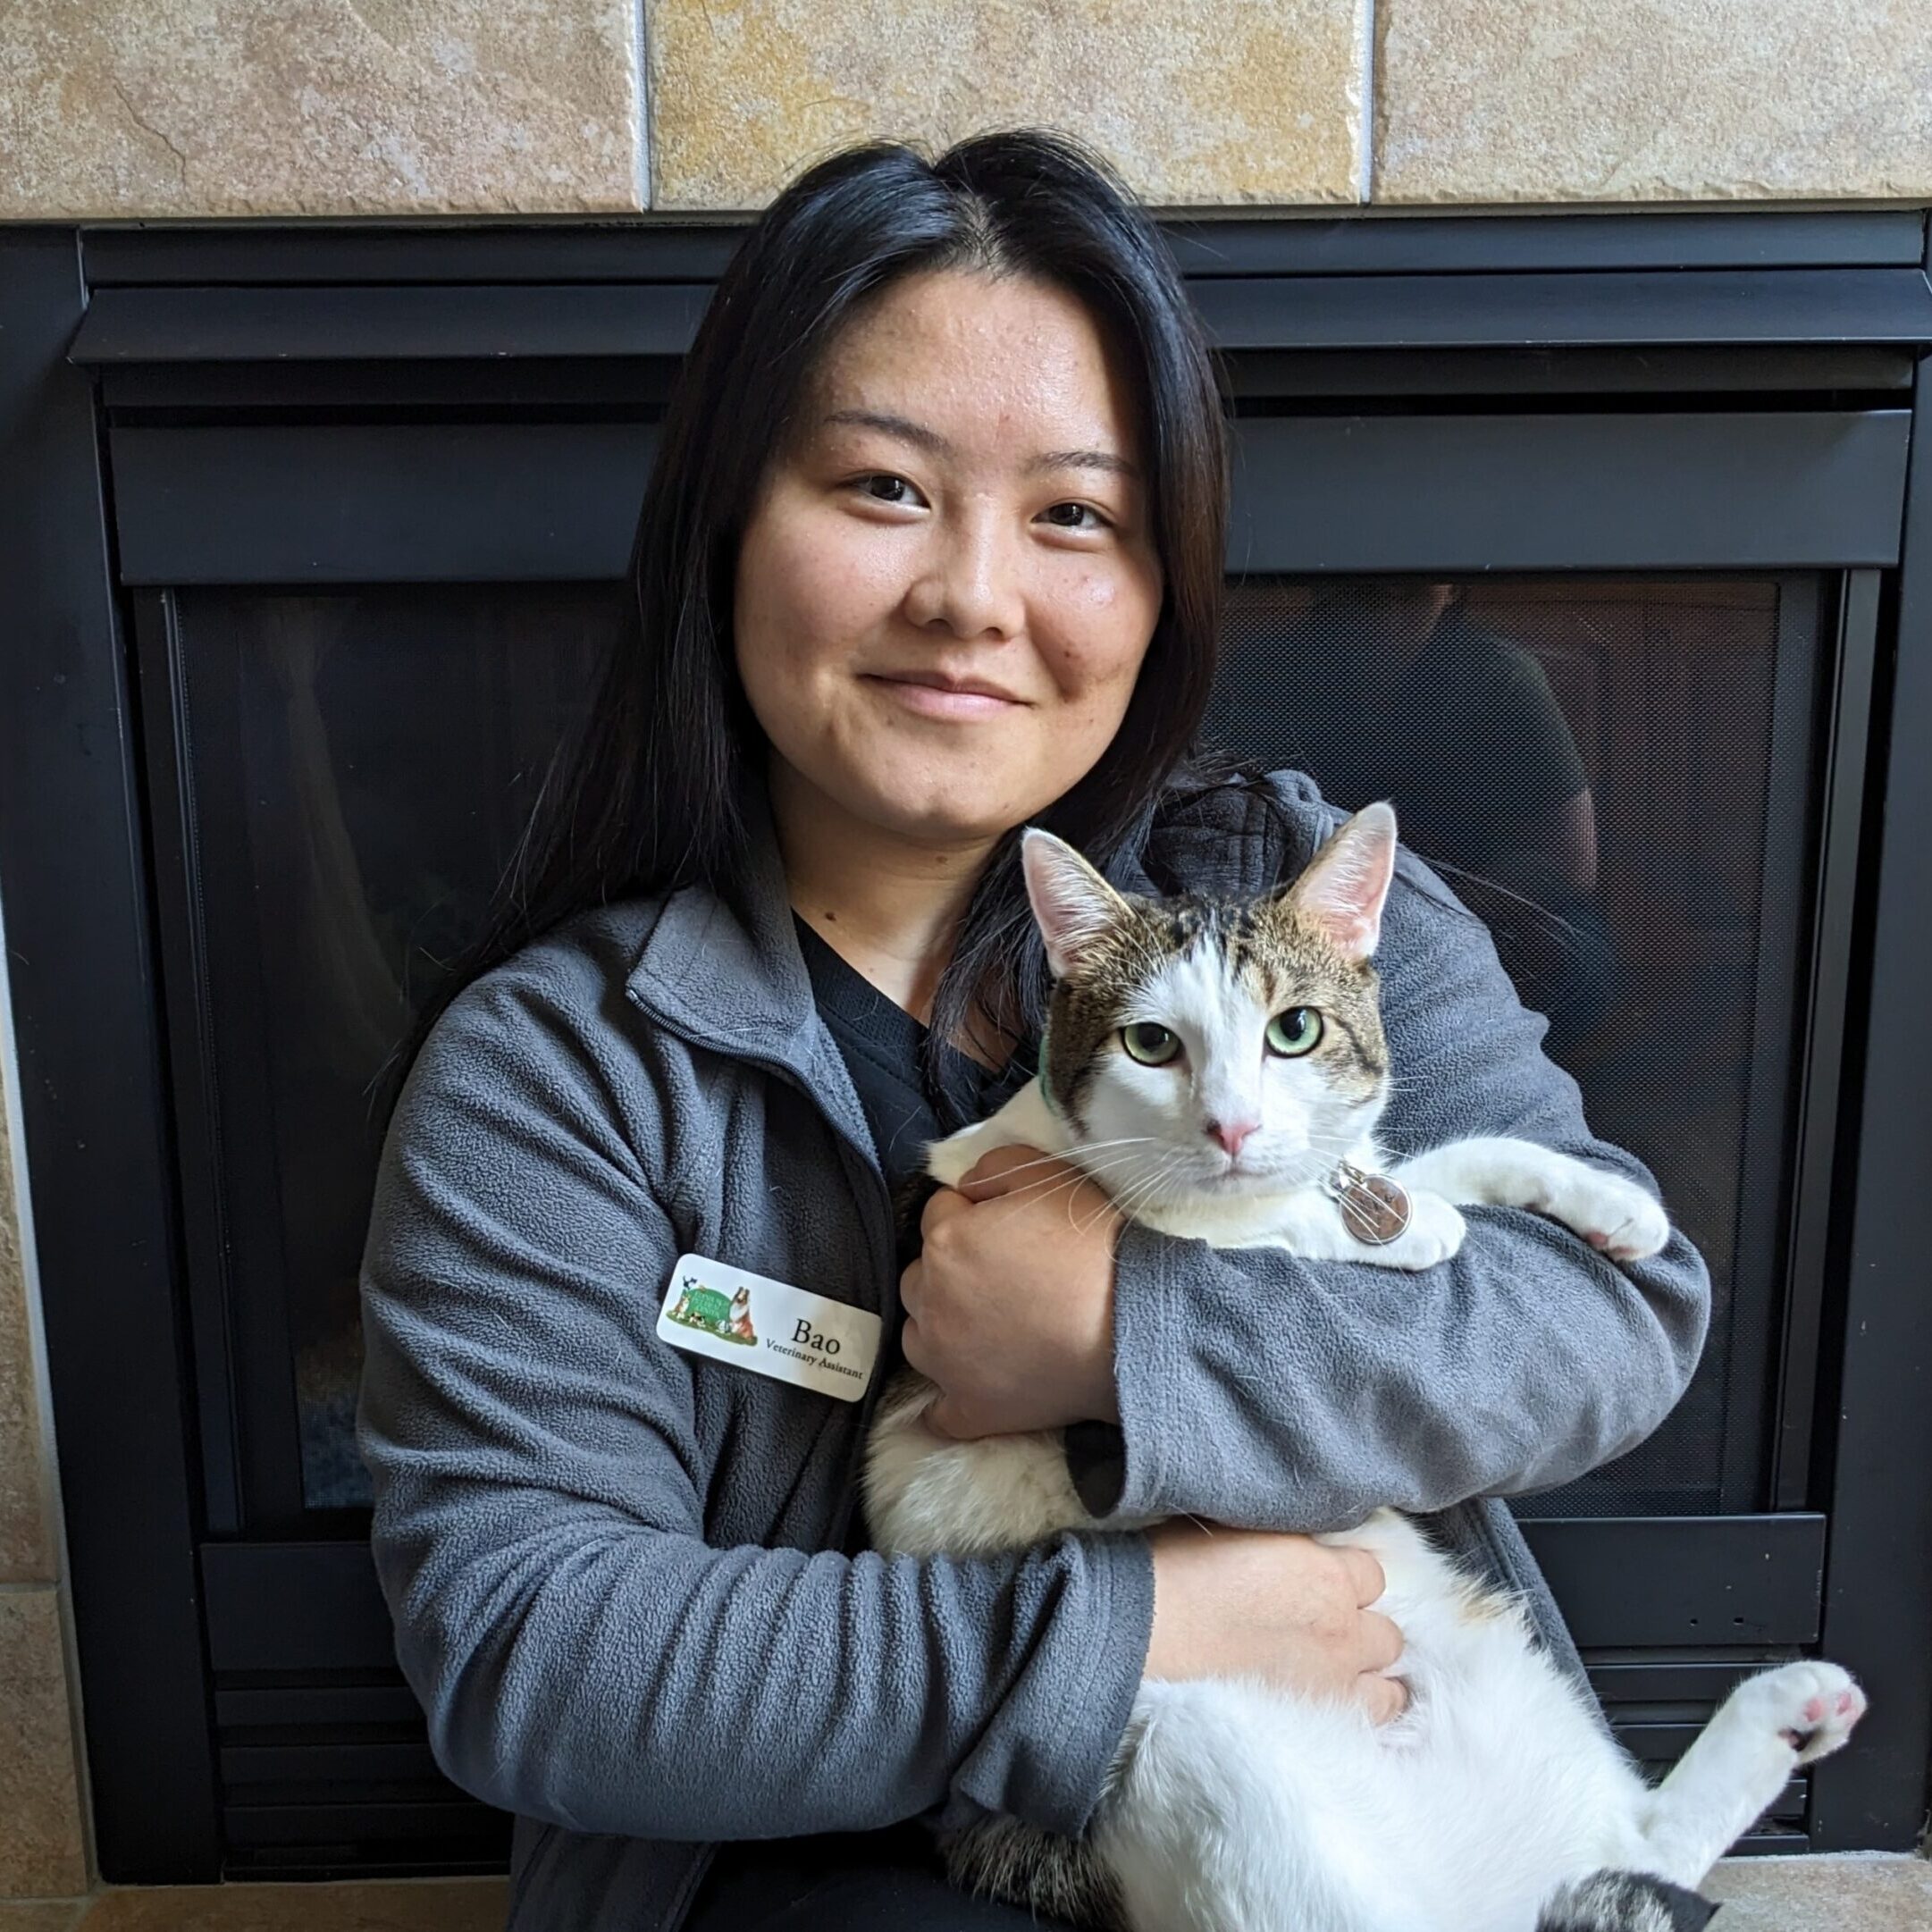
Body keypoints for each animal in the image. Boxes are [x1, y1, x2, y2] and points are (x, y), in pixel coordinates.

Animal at [869, 792, 1862, 1924]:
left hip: (1515, 1686)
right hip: (1197, 1759)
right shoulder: (1017, 1184)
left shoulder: (1355, 1153)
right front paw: (1391, 1227)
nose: (1232, 1125)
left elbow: (1437, 1158)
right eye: (1150, 1043)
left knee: (1637, 1839)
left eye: (1292, 1031)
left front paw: (1601, 1202)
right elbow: (1233, 1230)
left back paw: (1786, 1710)